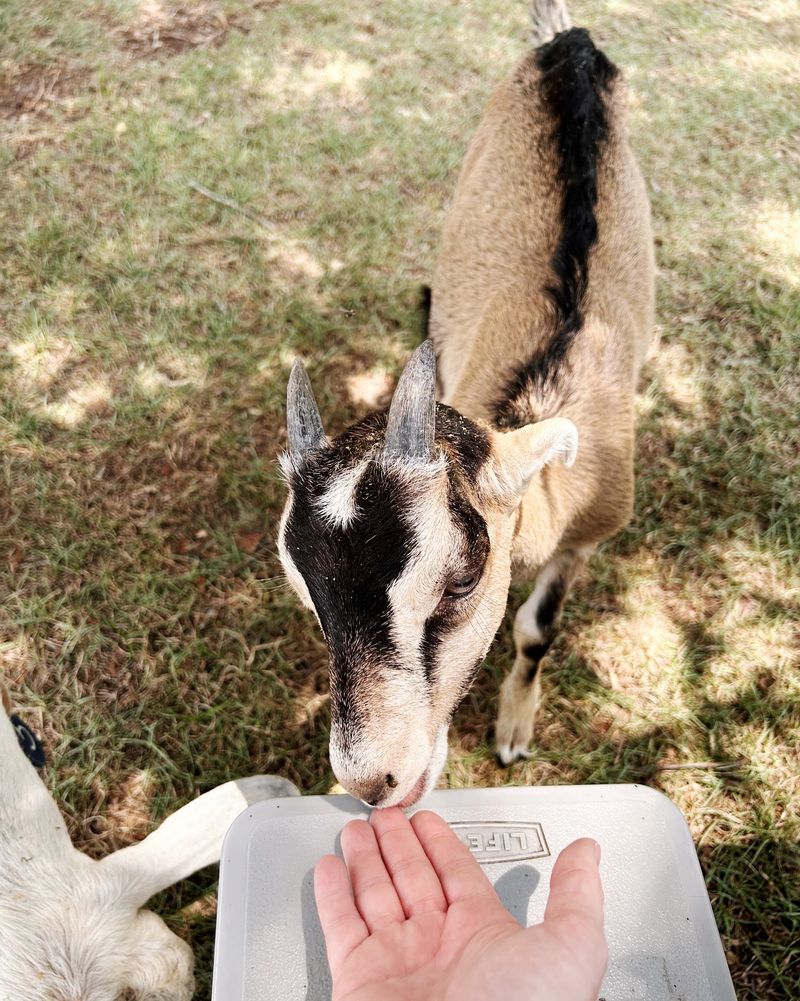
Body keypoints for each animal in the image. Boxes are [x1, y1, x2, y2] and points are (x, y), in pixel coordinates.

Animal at [278, 0, 654, 806]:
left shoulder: (587, 539)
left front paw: (513, 732)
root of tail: (569, 43)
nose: (371, 781)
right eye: (306, 590)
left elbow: (538, 629)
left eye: (461, 578)